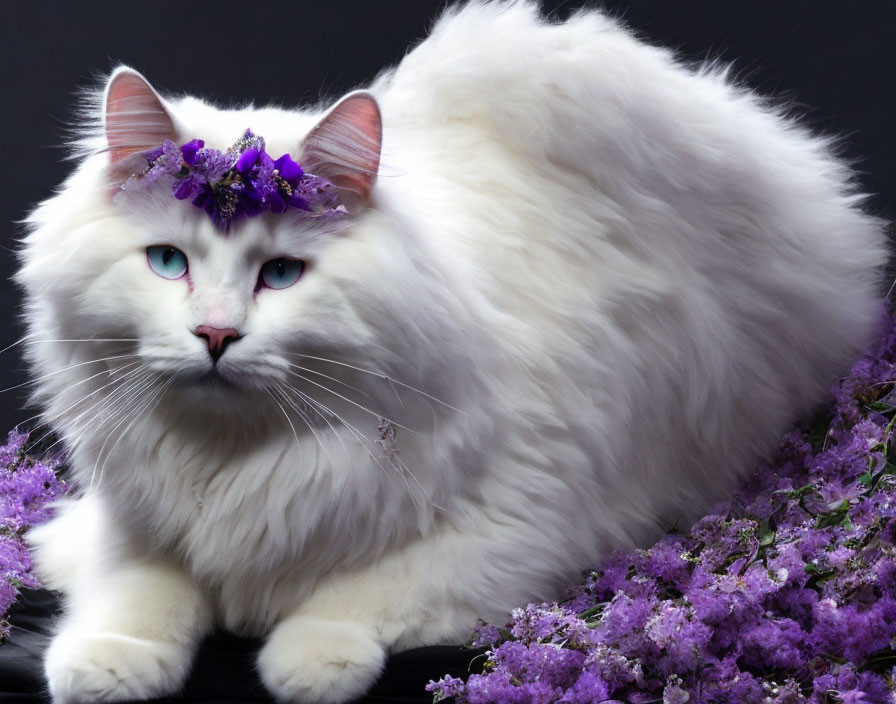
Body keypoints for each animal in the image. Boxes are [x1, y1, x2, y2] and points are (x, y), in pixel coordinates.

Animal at [17, 1, 884, 704]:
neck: (235, 464)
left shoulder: (504, 531)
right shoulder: (133, 522)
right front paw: (104, 665)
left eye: (282, 275)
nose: (217, 336)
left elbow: (359, 596)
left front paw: (310, 663)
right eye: (169, 263)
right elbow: (134, 596)